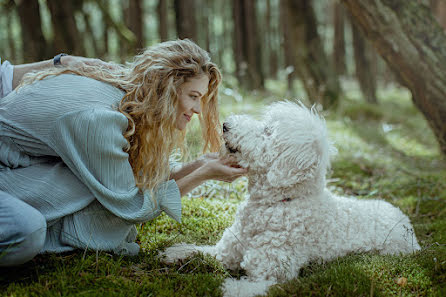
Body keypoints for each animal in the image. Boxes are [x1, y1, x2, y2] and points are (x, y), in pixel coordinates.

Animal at [161, 100, 422, 294]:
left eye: (267, 131)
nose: (226, 124)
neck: (277, 204)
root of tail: (403, 217)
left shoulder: (271, 276)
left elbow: (235, 287)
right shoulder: (225, 251)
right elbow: (197, 249)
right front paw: (174, 253)